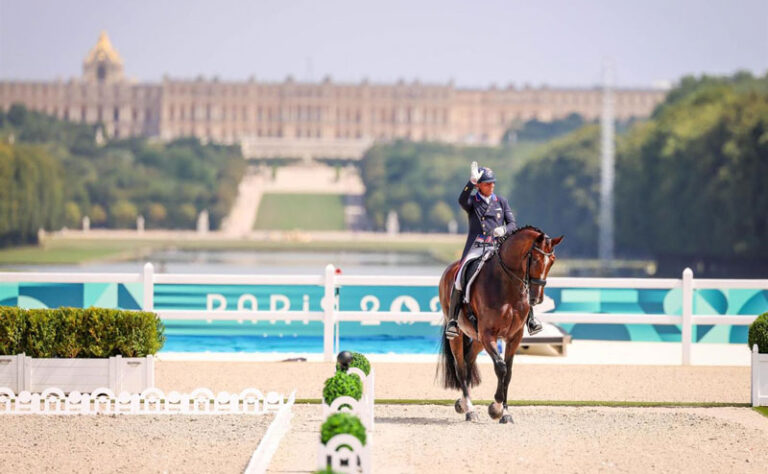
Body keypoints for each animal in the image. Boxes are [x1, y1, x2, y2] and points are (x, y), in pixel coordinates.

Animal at [438, 226, 564, 422]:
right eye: (535, 259)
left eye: (552, 261)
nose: (537, 298)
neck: (507, 284)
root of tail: (451, 269)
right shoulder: (488, 334)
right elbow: (501, 367)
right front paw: (495, 408)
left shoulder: (514, 336)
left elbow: (509, 372)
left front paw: (505, 412)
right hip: (458, 334)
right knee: (461, 368)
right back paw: (469, 409)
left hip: (478, 338)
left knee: (468, 361)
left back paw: (462, 403)